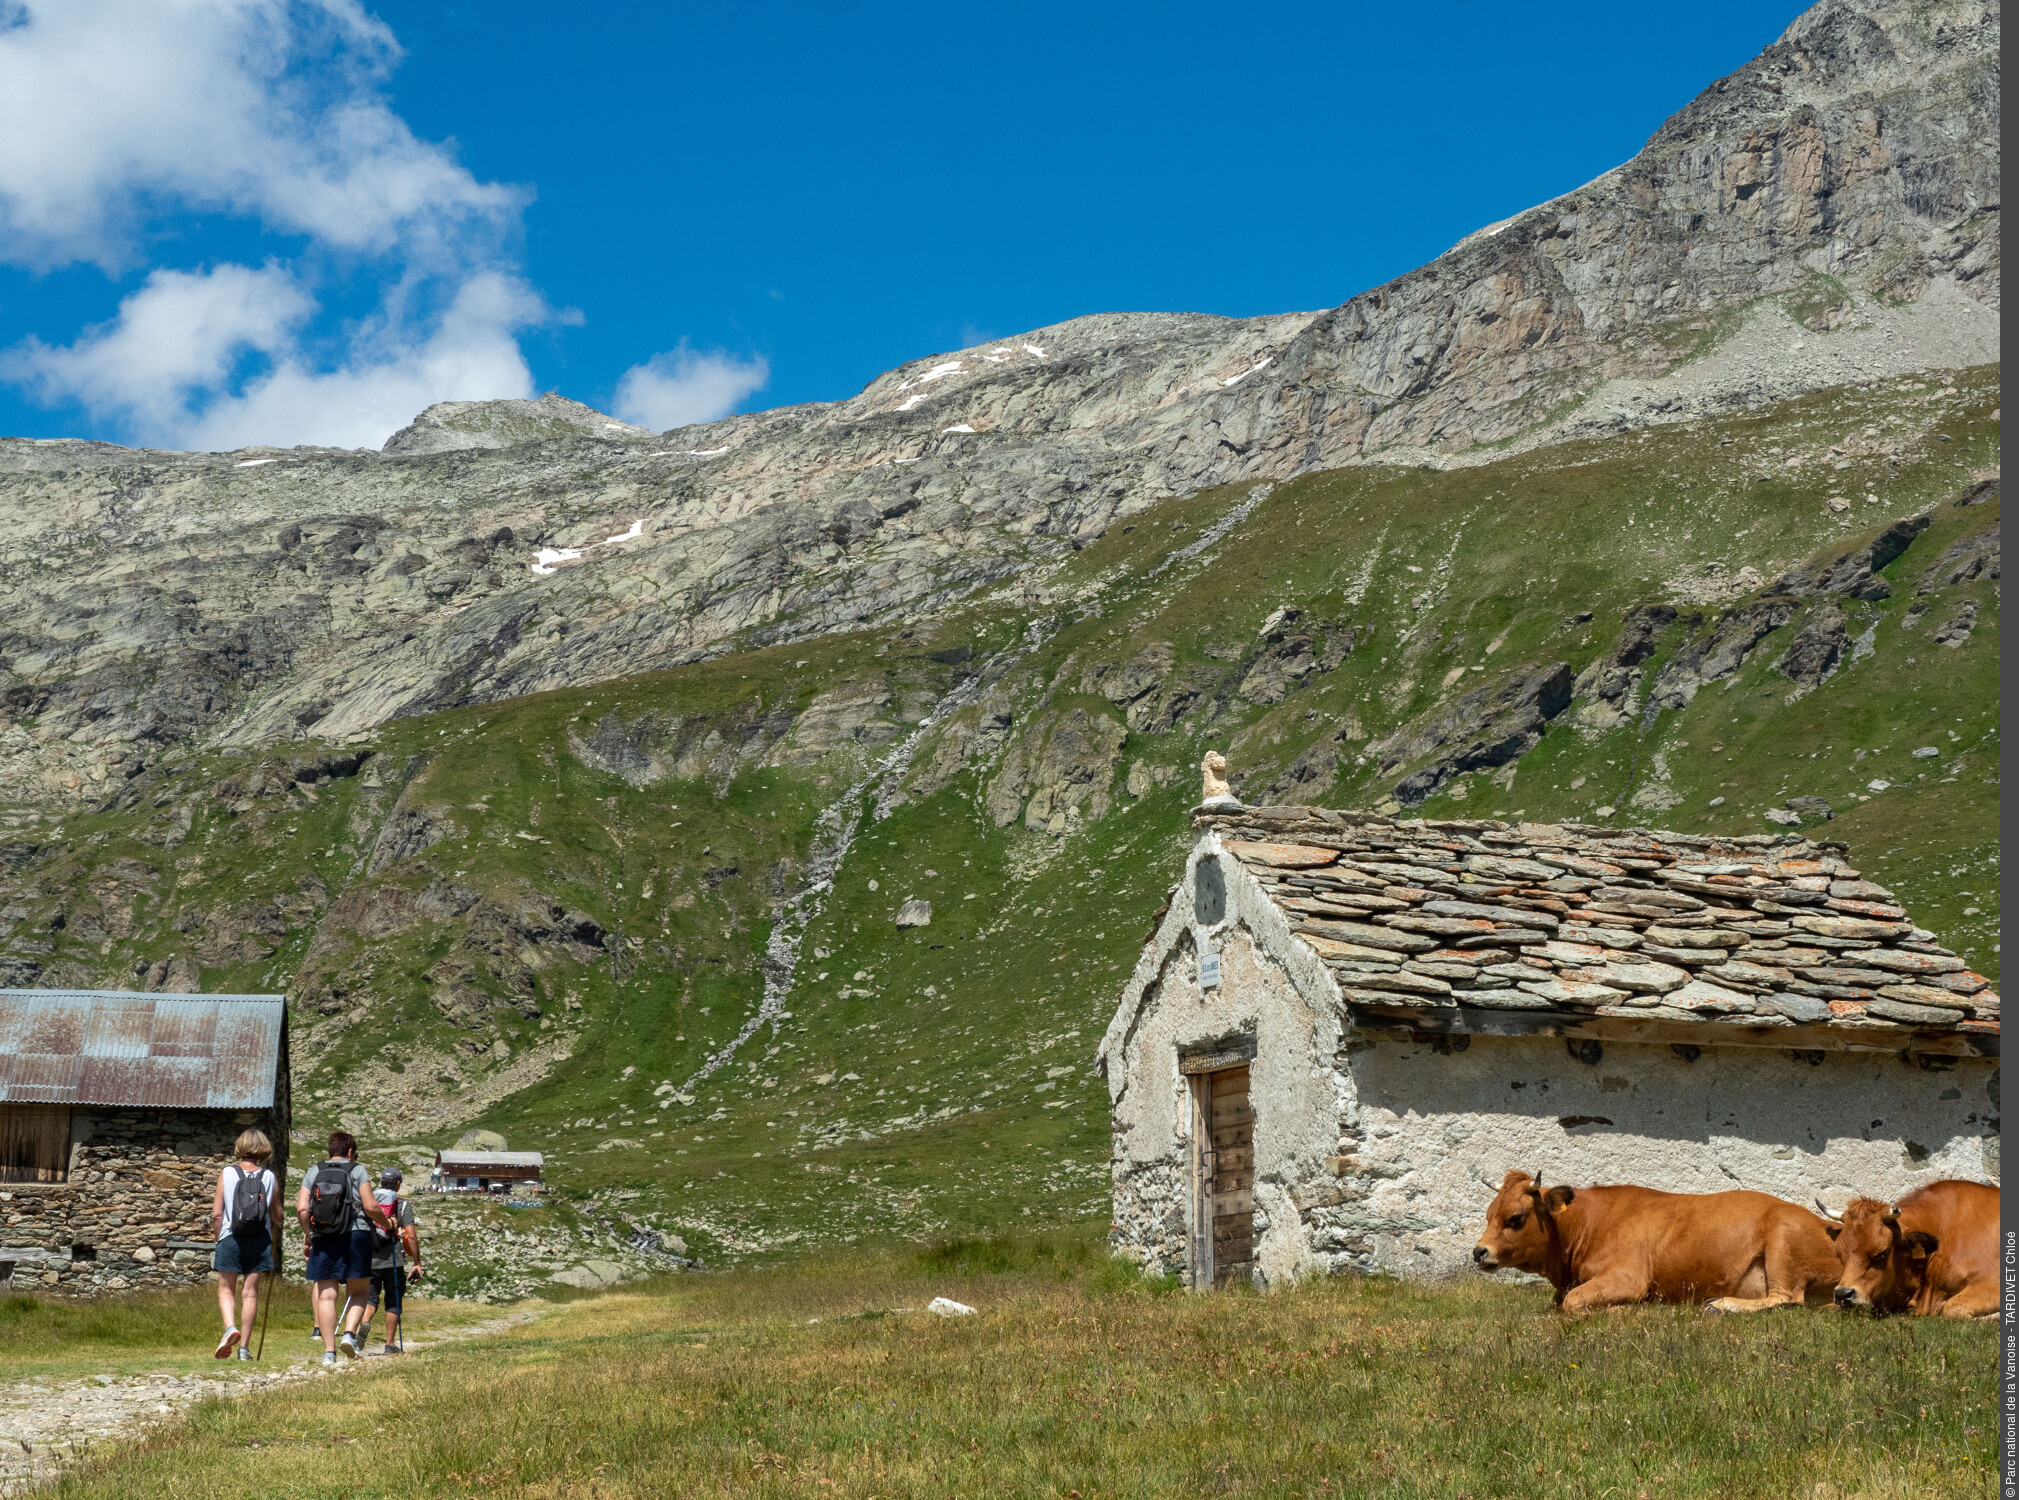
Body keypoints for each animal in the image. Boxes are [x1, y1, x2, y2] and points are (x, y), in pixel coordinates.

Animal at [1469, 1170, 1849, 1316]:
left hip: (1782, 1239)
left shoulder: (1627, 1277)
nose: (1478, 1251)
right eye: (1488, 1214)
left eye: (1515, 1218)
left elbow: (1573, 1302)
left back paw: (1721, 1304)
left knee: (1787, 1299)